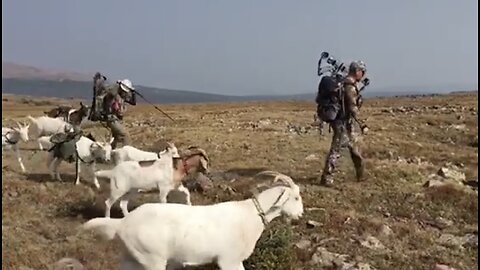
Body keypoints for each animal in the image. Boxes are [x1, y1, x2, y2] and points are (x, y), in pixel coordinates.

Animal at [80, 171, 302, 270]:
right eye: (296, 198)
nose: (300, 215)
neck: (249, 215)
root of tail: (122, 224)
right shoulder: (229, 260)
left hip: (132, 258)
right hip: (152, 259)